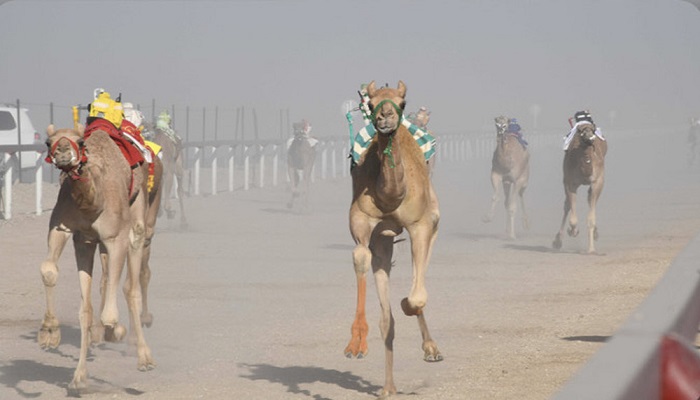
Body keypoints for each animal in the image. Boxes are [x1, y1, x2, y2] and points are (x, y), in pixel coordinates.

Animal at [39, 123, 157, 392]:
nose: (63, 152)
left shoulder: (115, 237)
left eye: (81, 141)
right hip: (94, 243)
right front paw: (50, 334)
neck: (93, 205)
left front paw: (116, 331)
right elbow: (51, 273)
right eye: (48, 142)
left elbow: (110, 314)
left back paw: (144, 358)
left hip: (137, 216)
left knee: (131, 286)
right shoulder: (71, 233)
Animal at [345, 81, 442, 398]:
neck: (390, 196)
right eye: (370, 101)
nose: (384, 117)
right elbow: (360, 258)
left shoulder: (421, 224)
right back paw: (388, 387)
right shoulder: (363, 224)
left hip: (431, 219)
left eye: (402, 101)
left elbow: (416, 297)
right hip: (384, 242)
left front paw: (406, 304)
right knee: (386, 318)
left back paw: (432, 349)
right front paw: (356, 344)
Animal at [552, 121, 608, 253]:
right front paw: (573, 231)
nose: (590, 137)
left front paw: (591, 250)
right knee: (567, 206)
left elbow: (591, 218)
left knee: (589, 201)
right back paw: (558, 241)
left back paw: (595, 234)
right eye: (581, 132)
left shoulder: (597, 182)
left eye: (593, 130)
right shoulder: (570, 182)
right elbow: (572, 218)